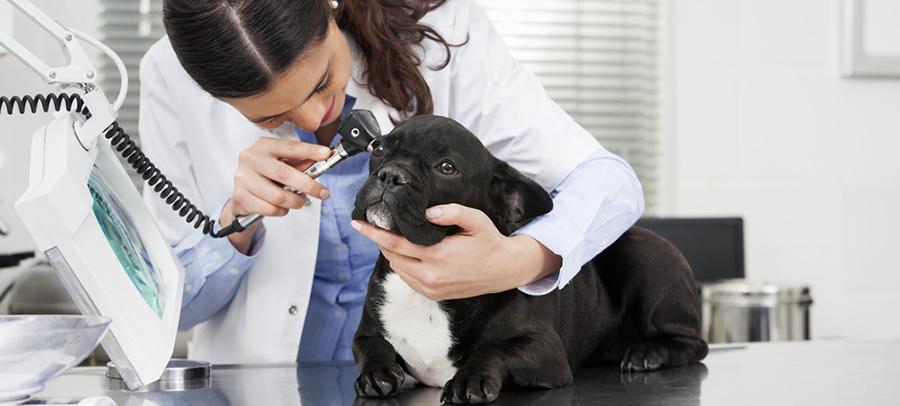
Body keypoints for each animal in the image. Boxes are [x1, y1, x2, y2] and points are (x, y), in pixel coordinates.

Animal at [352, 114, 712, 402]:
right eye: (378, 149)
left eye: (446, 168)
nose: (391, 174)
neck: (424, 297)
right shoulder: (366, 333)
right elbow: (372, 346)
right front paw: (377, 373)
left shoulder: (544, 349)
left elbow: (495, 348)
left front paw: (469, 378)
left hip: (645, 255)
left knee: (695, 342)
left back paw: (649, 353)